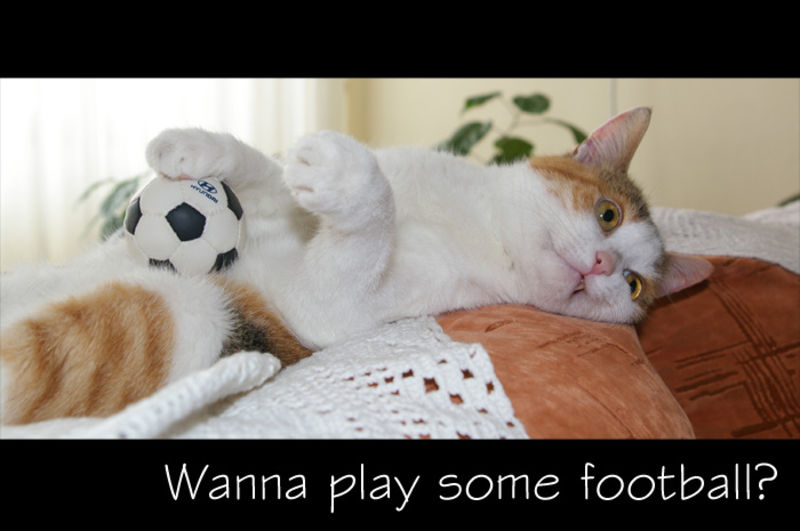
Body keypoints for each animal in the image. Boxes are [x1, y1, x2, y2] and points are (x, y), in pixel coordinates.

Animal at [0, 106, 712, 425]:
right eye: (608, 214)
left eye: (634, 286)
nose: (602, 264)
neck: (475, 220)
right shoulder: (278, 213)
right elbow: (263, 175)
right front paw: (196, 148)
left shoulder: (330, 310)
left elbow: (371, 212)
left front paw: (347, 175)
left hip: (189, 312)